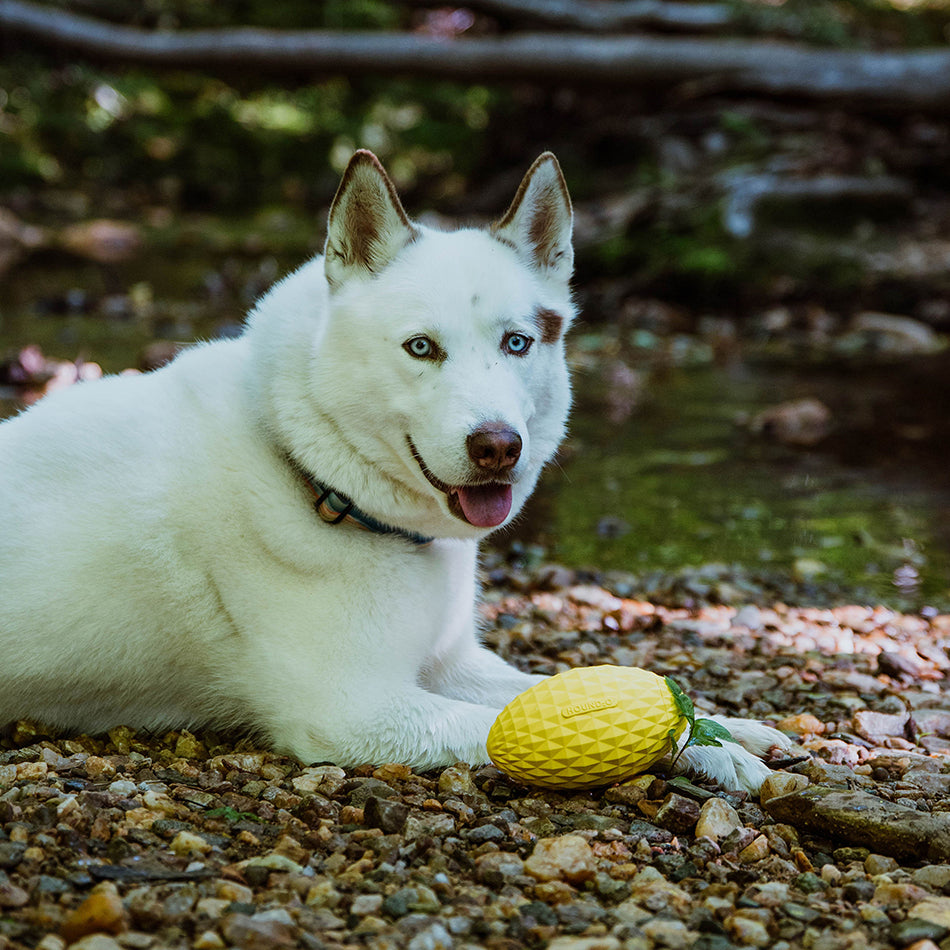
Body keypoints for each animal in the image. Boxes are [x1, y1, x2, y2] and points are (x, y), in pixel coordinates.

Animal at [0, 152, 788, 792]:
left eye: (517, 342)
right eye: (421, 348)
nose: (499, 446)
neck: (315, 479)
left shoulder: (452, 664)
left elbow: (566, 686)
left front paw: (728, 725)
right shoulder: (356, 711)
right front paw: (710, 751)